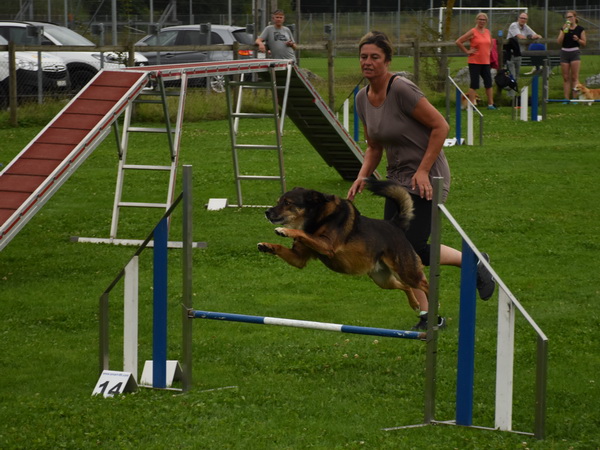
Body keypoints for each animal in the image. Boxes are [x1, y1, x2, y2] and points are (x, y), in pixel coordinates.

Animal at [257, 179, 428, 311]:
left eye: (287, 203)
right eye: (278, 202)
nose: (267, 212)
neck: (318, 217)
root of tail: (395, 225)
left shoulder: (327, 245)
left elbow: (302, 233)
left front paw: (284, 230)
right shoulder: (298, 258)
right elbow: (283, 247)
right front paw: (266, 245)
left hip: (406, 271)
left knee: (424, 285)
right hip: (383, 279)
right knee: (406, 286)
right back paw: (415, 305)